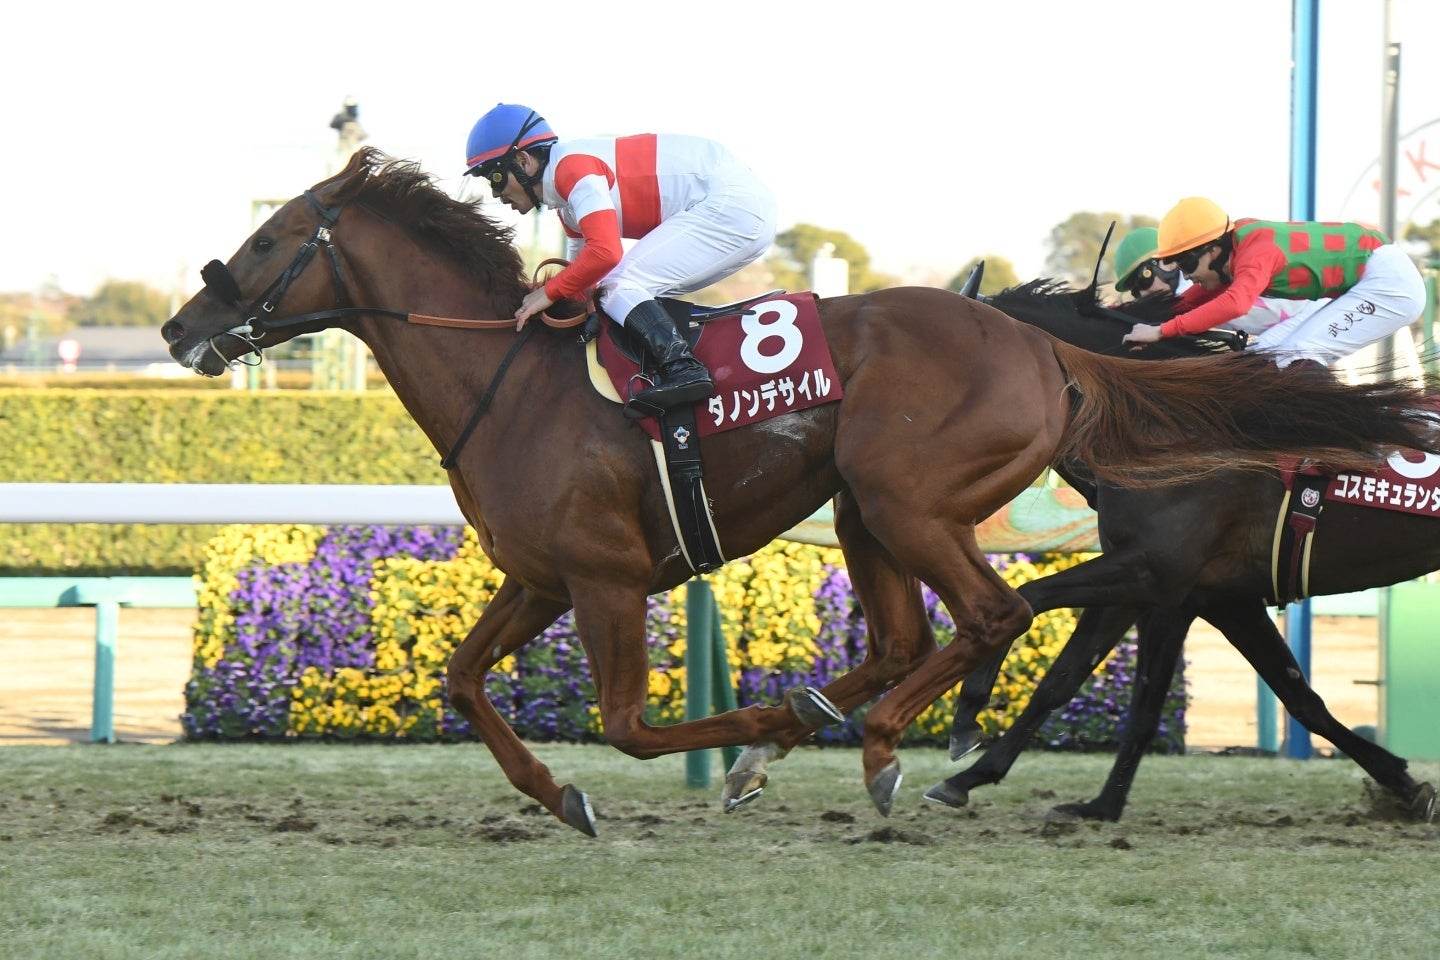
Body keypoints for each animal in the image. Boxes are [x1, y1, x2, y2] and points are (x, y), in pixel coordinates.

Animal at [925, 278, 1439, 823]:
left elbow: (1033, 599)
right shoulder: (1205, 596)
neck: (1170, 426)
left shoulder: (1157, 573)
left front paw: (968, 716)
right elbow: (1077, 680)